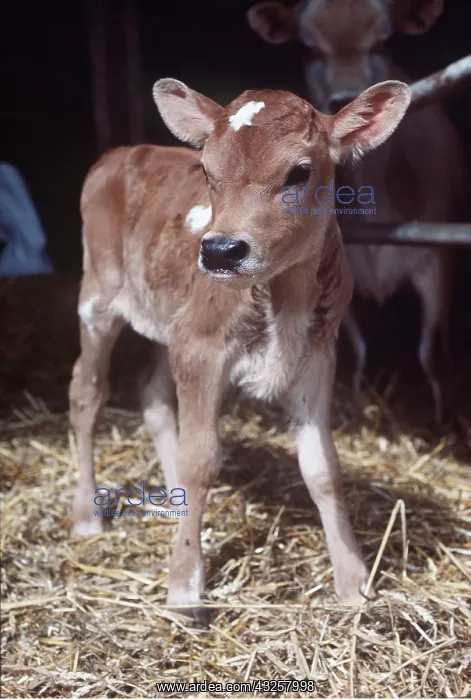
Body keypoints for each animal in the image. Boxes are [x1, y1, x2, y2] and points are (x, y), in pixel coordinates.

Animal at [69, 76, 411, 623]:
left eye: (300, 171)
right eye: (207, 171)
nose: (220, 251)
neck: (284, 294)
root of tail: (120, 152)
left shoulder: (316, 355)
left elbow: (323, 469)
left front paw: (353, 580)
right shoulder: (203, 349)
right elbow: (202, 458)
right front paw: (184, 585)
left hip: (171, 321)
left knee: (152, 396)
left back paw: (173, 500)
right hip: (98, 298)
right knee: (87, 393)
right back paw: (86, 514)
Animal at [247, 0, 466, 424]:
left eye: (383, 44)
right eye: (310, 50)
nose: (342, 99)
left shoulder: (437, 262)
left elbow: (430, 352)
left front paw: (442, 419)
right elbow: (357, 346)